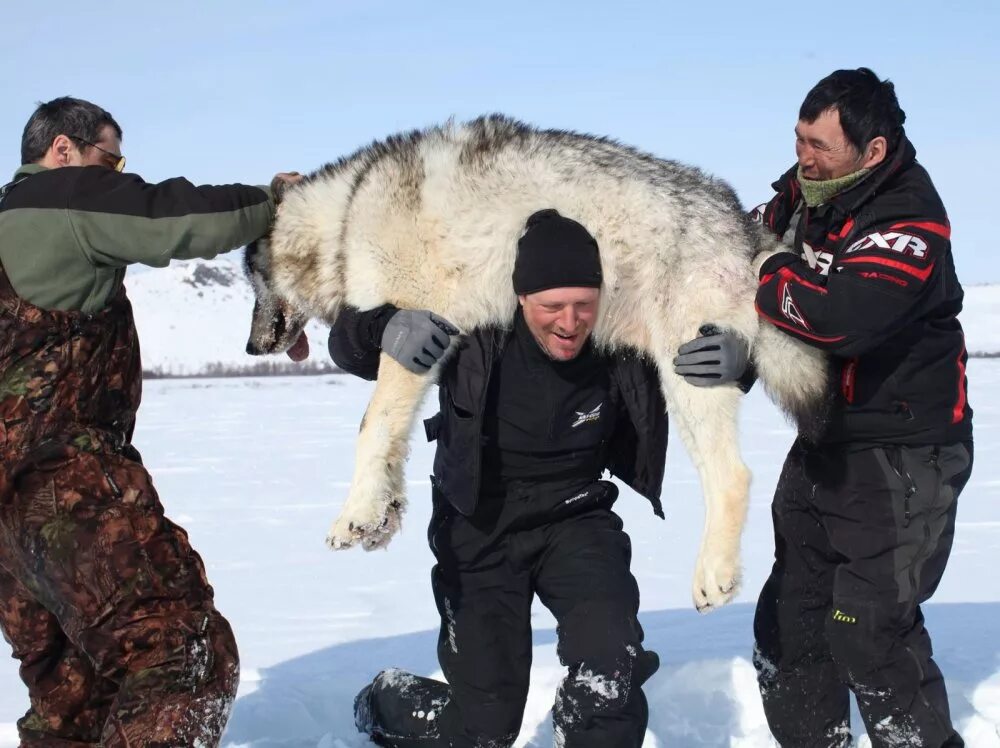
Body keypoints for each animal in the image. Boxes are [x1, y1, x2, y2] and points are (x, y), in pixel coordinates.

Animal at [242, 114, 820, 612]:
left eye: (252, 279)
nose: (249, 347)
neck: (347, 214)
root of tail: (741, 220)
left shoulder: (413, 331)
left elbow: (370, 429)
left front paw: (354, 518)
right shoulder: (425, 344)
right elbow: (393, 443)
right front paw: (382, 518)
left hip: (689, 376)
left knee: (734, 477)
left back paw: (712, 579)